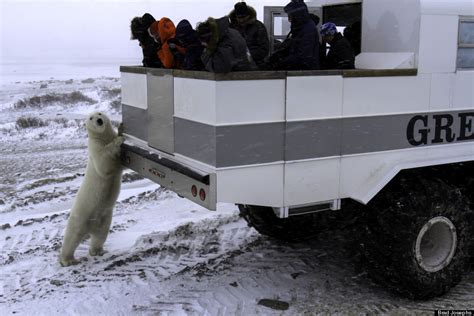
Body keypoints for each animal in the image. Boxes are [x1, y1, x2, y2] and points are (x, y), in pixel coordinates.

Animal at [60, 111, 124, 266]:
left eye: (99, 113)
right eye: (91, 118)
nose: (99, 120)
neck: (103, 137)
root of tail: (90, 228)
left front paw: (120, 128)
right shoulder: (95, 148)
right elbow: (104, 165)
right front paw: (119, 140)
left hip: (103, 219)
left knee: (100, 236)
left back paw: (97, 251)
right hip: (80, 217)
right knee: (71, 237)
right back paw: (68, 260)